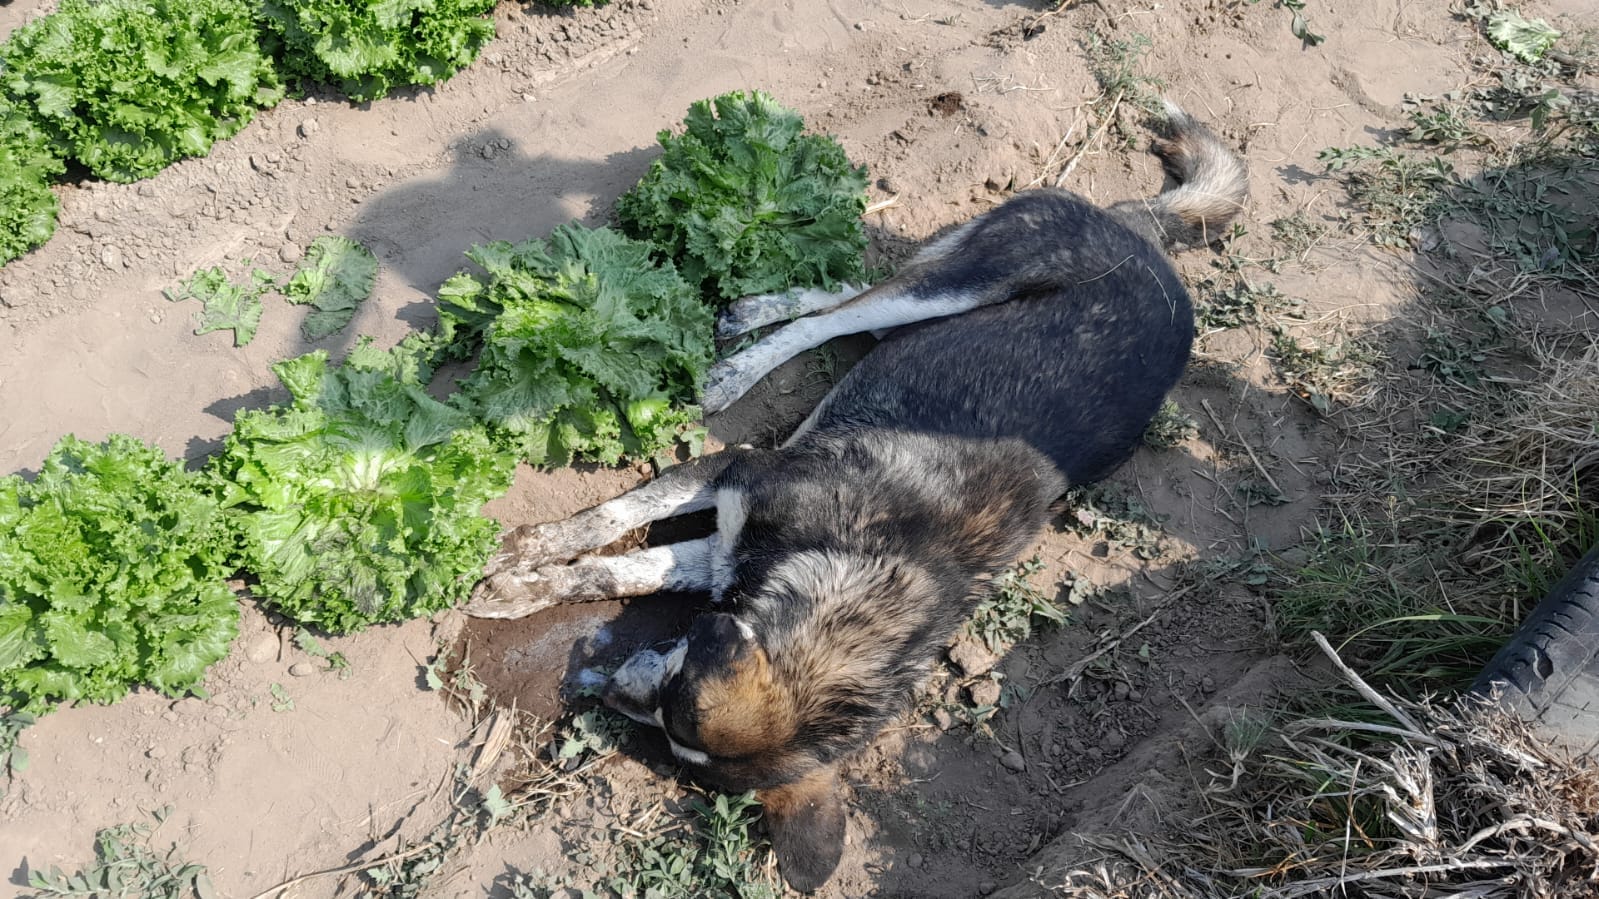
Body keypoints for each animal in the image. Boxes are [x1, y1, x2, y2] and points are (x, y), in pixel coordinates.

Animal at [463, 103, 1247, 889]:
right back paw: (741, 356)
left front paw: (525, 585)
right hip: (964, 282)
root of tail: (1148, 238)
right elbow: (612, 517)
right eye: (673, 694)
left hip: (930, 310)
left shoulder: (721, 553)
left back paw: (755, 311)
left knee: (848, 292)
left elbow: (613, 569)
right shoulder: (736, 470)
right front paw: (522, 558)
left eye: (665, 716)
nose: (602, 691)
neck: (859, 571)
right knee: (842, 306)